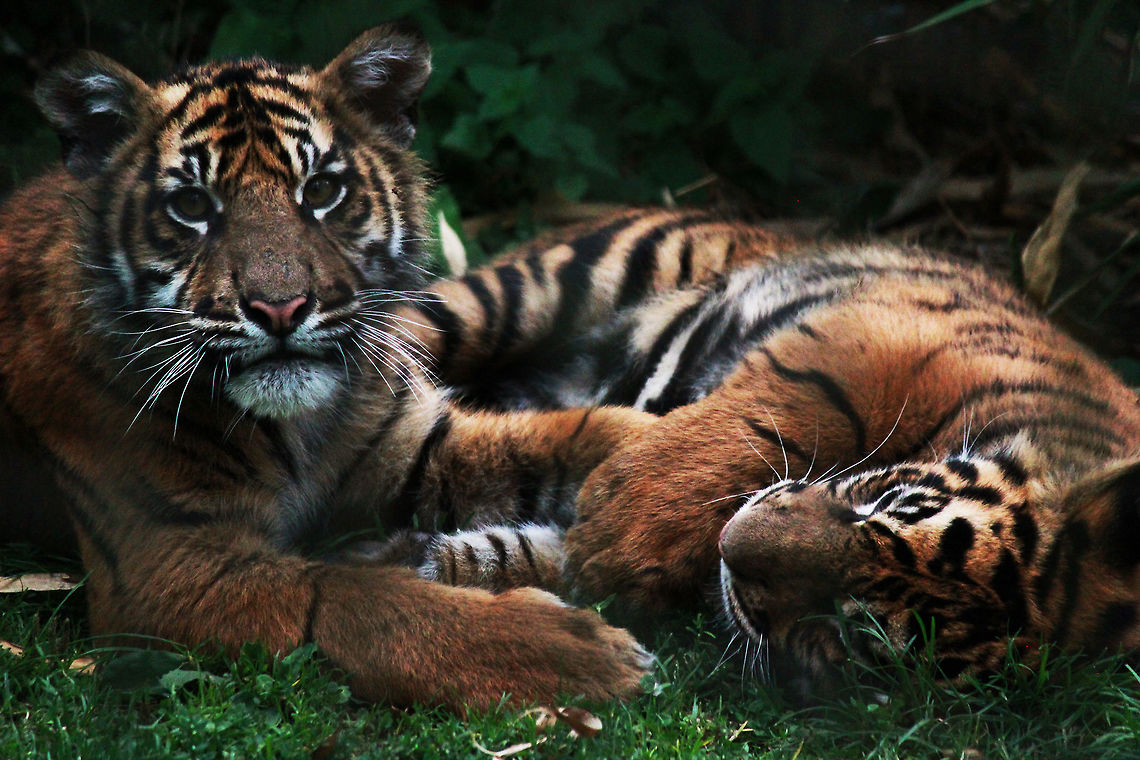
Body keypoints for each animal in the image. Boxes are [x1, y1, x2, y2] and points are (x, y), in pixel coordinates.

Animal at [407, 231, 1140, 699]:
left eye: (852, 632)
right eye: (888, 505)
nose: (731, 549)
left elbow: (525, 552)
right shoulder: (872, 342)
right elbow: (789, 411)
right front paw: (618, 529)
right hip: (559, 281)